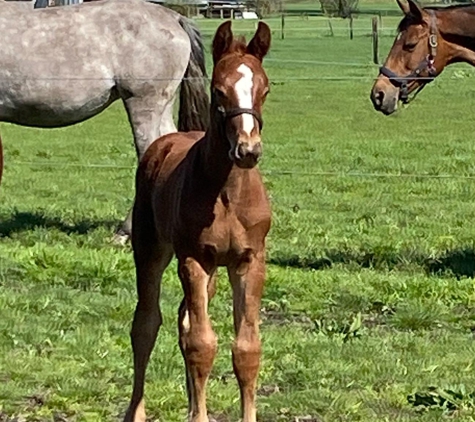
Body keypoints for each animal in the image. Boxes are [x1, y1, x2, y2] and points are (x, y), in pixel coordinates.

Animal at [124, 22, 274, 422]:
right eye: (219, 89)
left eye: (265, 89)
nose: (248, 150)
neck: (227, 193)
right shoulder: (194, 259)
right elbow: (201, 344)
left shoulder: (248, 261)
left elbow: (246, 349)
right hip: (151, 249)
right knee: (146, 325)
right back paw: (137, 412)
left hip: (213, 273)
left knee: (184, 319)